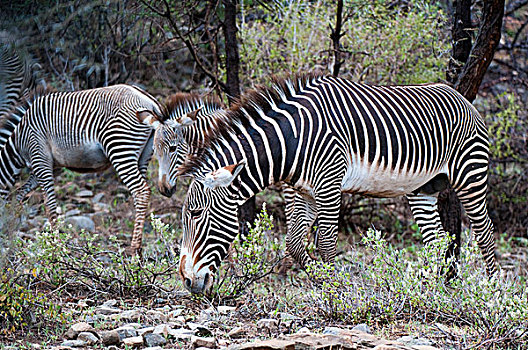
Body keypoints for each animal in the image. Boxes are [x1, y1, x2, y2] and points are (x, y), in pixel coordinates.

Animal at [0, 85, 164, 254]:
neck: (18, 142)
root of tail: (150, 101)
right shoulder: (44, 165)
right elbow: (21, 193)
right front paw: (13, 220)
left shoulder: (40, 158)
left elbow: (49, 204)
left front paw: (56, 246)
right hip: (143, 155)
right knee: (141, 194)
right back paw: (139, 251)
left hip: (120, 148)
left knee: (141, 190)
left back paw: (134, 250)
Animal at [175, 74, 498, 296]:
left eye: (196, 215)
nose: (188, 281)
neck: (290, 141)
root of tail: (463, 97)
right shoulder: (302, 190)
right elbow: (294, 243)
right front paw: (322, 282)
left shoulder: (329, 182)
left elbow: (326, 242)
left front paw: (335, 294)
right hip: (423, 188)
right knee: (437, 240)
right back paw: (430, 291)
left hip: (470, 174)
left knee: (485, 233)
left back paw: (492, 293)